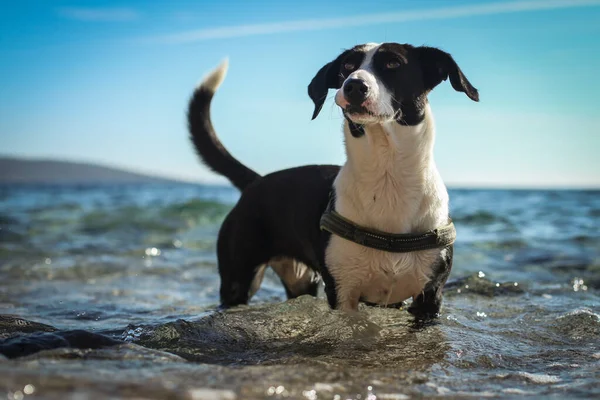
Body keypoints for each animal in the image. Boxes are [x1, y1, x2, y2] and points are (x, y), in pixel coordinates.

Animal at [188, 42, 478, 318]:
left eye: (393, 63)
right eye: (347, 66)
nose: (354, 86)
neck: (387, 175)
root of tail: (256, 182)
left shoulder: (430, 295)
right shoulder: (342, 292)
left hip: (300, 281)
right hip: (238, 277)